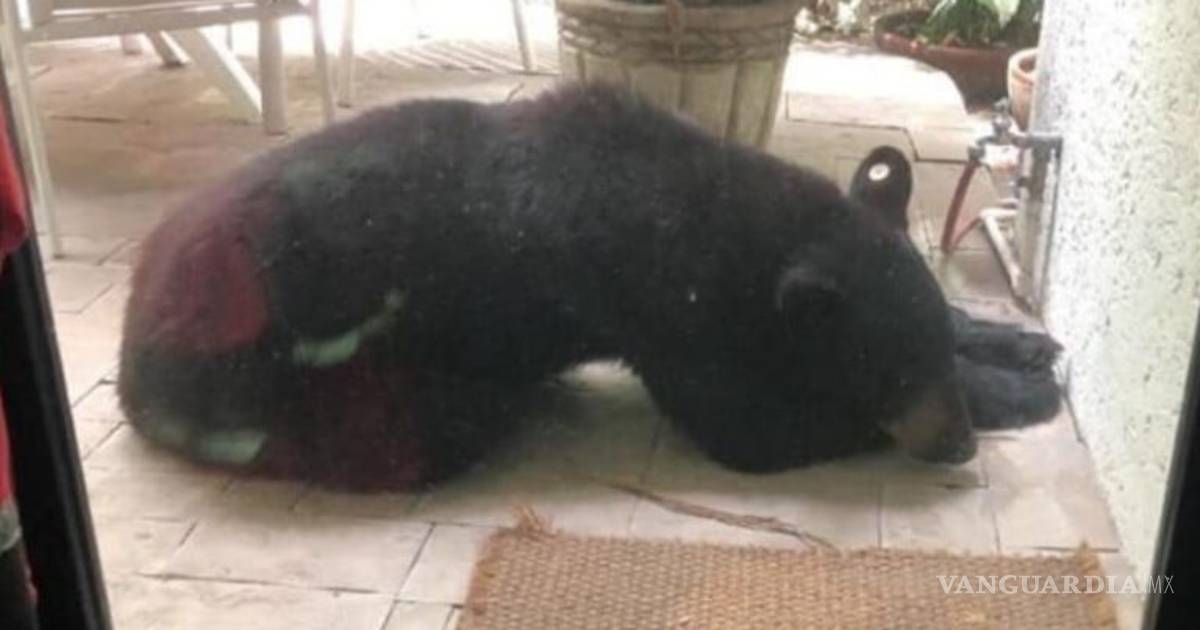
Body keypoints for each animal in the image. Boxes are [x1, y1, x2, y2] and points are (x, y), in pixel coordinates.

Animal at [118, 83, 979, 492]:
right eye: (894, 367)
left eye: (941, 342)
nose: (960, 442)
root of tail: (130, 365)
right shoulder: (661, 307)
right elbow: (745, 431)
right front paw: (858, 426)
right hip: (277, 385)